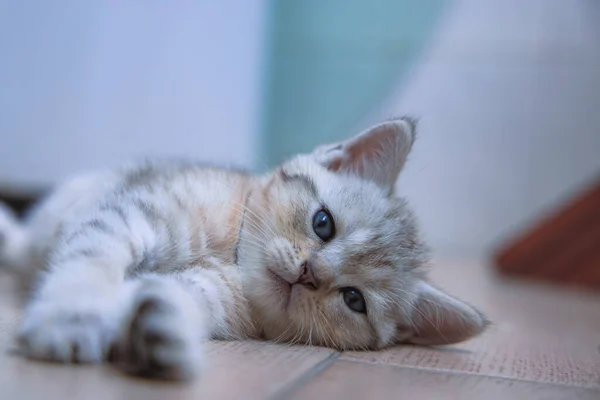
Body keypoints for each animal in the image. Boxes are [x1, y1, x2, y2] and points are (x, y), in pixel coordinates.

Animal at [0, 117, 488, 380]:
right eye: (323, 223)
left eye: (354, 300)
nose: (309, 273)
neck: (230, 255)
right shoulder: (138, 212)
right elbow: (94, 256)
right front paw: (71, 313)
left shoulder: (213, 295)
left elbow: (174, 297)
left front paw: (163, 331)